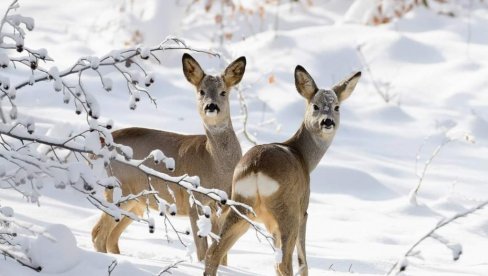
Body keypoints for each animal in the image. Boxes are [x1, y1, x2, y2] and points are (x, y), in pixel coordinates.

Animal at [91, 52, 246, 262]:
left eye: (223, 92)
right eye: (201, 91)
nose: (211, 106)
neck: (216, 166)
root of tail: (105, 140)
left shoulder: (223, 209)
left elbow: (221, 255)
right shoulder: (195, 204)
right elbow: (202, 253)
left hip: (136, 201)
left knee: (110, 237)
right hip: (119, 189)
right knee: (99, 234)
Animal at [204, 66, 360, 274]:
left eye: (337, 107)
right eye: (315, 106)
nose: (327, 122)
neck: (302, 156)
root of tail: (256, 166)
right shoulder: (304, 209)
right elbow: (303, 262)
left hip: (240, 205)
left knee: (213, 253)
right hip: (287, 211)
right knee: (283, 263)